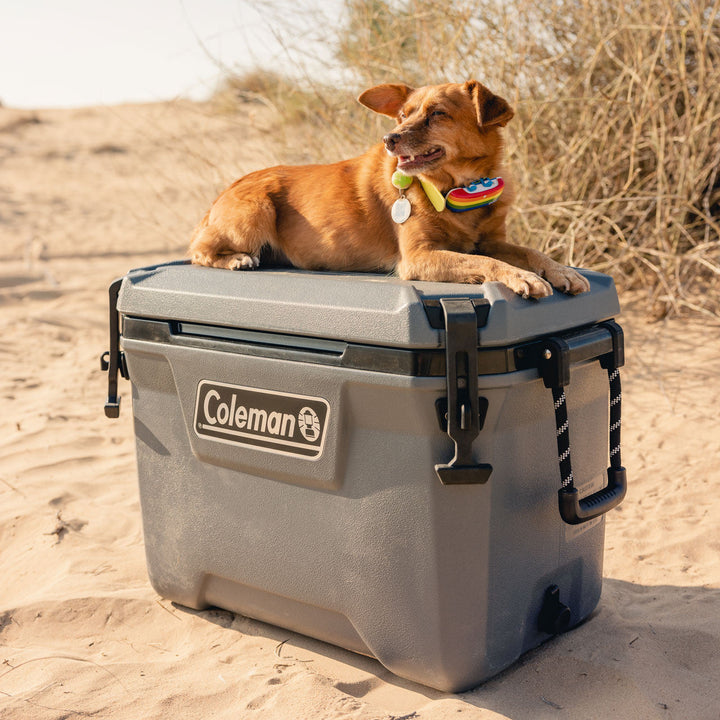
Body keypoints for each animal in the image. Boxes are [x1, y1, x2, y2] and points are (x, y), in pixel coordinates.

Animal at [190, 81, 592, 298]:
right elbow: (485, 263)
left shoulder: (490, 240)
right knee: (198, 251)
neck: (457, 189)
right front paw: (522, 277)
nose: (390, 138)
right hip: (255, 210)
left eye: (437, 114)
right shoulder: (418, 257)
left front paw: (561, 271)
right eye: (402, 115)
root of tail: (216, 201)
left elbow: (527, 251)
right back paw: (236, 259)